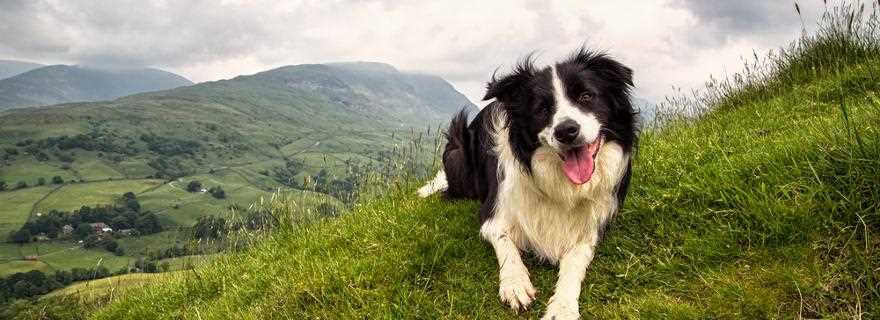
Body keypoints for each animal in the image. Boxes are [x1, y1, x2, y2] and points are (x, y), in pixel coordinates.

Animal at [416, 48, 636, 320]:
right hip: (457, 147)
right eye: (542, 108)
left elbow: (575, 262)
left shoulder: (592, 227)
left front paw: (562, 306)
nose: (566, 131)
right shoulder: (493, 214)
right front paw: (515, 284)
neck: (560, 184)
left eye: (586, 96)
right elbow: (506, 244)